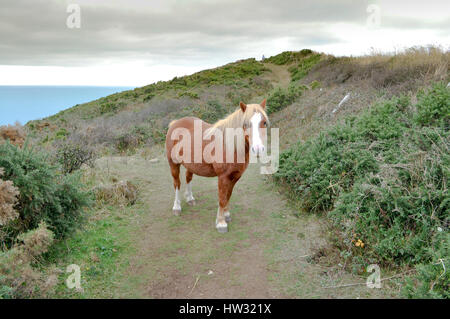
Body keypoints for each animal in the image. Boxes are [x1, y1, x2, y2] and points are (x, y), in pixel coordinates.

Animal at [167, 100, 268, 232]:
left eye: (264, 122)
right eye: (245, 124)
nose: (258, 149)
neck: (230, 146)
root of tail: (175, 123)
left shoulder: (235, 177)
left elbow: (228, 196)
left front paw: (226, 215)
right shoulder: (223, 177)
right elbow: (222, 198)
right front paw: (221, 223)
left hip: (191, 165)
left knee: (188, 178)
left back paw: (190, 199)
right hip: (173, 164)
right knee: (177, 183)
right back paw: (176, 207)